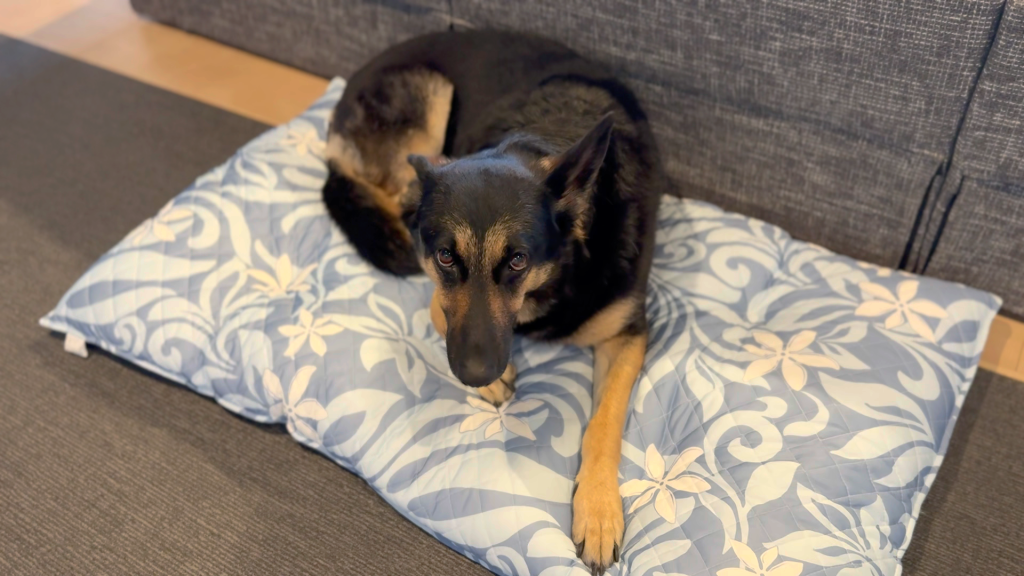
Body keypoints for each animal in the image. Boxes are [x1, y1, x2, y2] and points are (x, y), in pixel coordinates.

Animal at [322, 30, 664, 575]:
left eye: (518, 260)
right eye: (446, 256)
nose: (475, 374)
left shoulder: (626, 335)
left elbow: (603, 422)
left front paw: (597, 510)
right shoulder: (437, 280)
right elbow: (436, 308)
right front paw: (492, 381)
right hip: (430, 100)